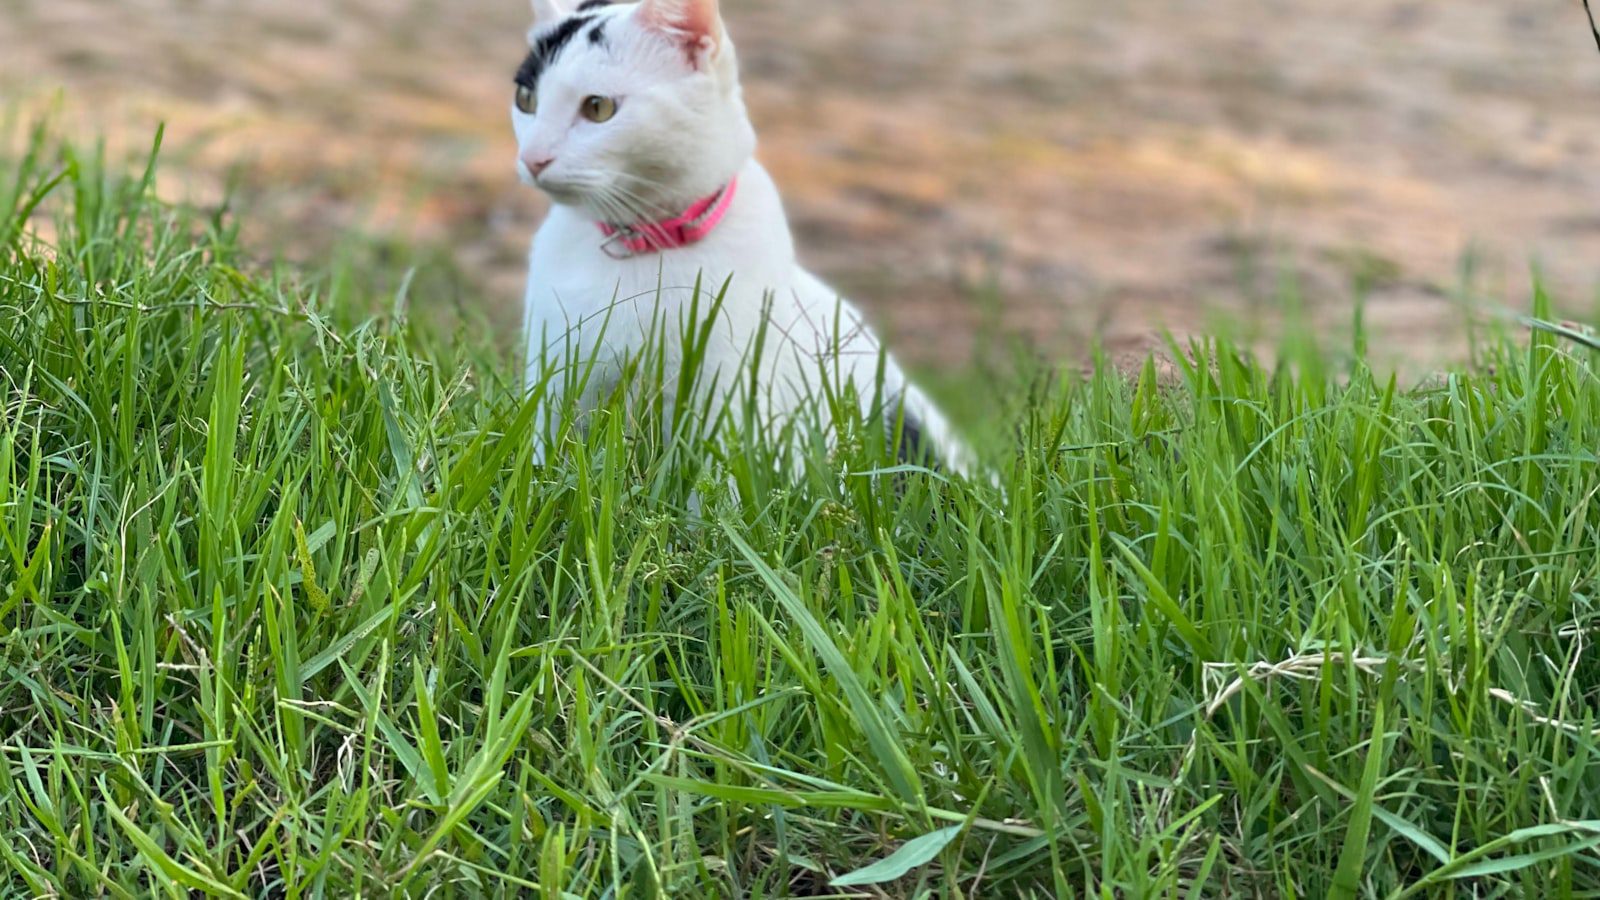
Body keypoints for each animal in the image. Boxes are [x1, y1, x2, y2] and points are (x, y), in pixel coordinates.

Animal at [512, 0, 972, 474]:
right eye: (526, 100)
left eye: (599, 107)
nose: (532, 158)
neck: (642, 246)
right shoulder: (555, 374)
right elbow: (546, 459)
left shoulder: (728, 393)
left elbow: (721, 479)